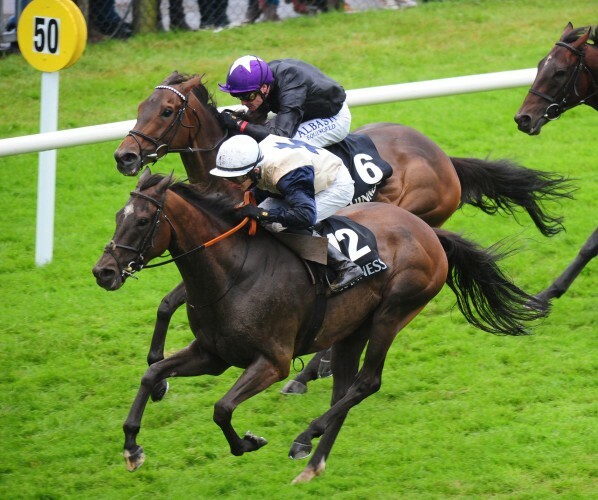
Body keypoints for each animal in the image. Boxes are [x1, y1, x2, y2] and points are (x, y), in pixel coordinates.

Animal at [92, 170, 548, 482]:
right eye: (117, 216)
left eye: (142, 221)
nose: (103, 271)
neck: (233, 273)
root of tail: (430, 232)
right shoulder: (212, 354)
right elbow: (152, 374)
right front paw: (132, 448)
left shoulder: (272, 362)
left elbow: (222, 408)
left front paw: (248, 443)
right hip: (350, 330)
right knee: (344, 388)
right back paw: (312, 463)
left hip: (393, 312)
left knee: (366, 383)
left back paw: (304, 437)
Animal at [113, 71, 576, 398]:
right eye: (139, 106)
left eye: (166, 111)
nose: (125, 156)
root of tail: (444, 158)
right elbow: (167, 303)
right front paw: (158, 372)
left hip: (414, 217)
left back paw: (311, 372)